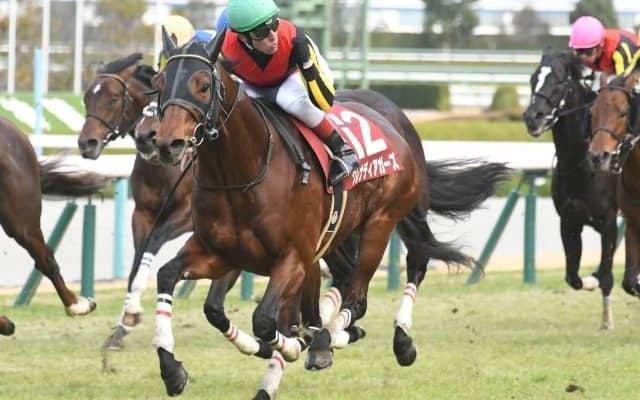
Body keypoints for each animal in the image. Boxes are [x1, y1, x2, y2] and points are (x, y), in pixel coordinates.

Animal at [148, 30, 510, 398]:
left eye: (203, 85)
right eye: (159, 82)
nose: (167, 144)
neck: (242, 172)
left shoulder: (293, 257)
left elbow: (266, 320)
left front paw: (294, 345)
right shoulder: (221, 253)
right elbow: (177, 283)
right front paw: (172, 370)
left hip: (383, 221)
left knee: (380, 283)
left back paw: (384, 341)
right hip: (338, 235)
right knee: (346, 279)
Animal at [522, 50, 619, 330]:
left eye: (558, 82)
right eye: (533, 78)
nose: (533, 118)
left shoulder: (608, 221)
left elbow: (607, 274)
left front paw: (607, 322)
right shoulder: (569, 221)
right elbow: (572, 277)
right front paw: (591, 279)